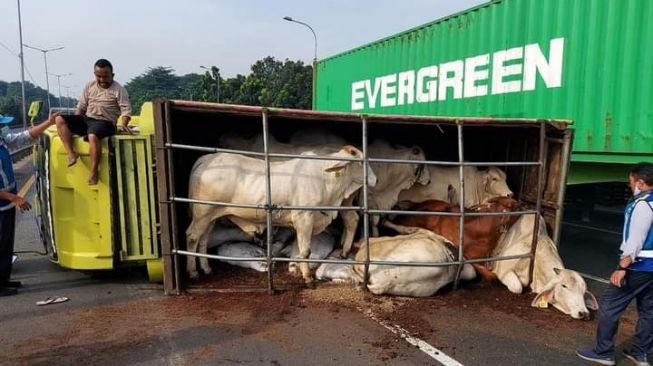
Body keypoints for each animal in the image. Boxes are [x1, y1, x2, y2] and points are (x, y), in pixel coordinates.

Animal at [186, 145, 374, 284]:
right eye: (361, 162)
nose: (375, 179)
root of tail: (206, 159)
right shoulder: (304, 218)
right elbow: (305, 250)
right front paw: (308, 278)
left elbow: (301, 249)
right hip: (202, 213)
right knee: (193, 237)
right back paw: (193, 272)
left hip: (211, 216)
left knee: (203, 239)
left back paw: (206, 268)